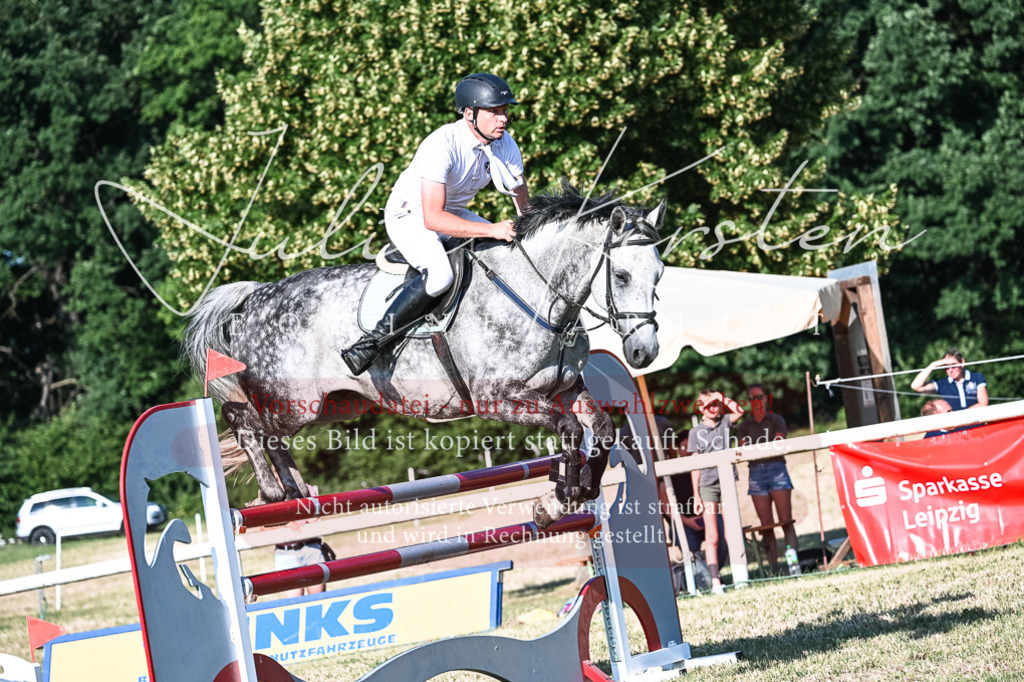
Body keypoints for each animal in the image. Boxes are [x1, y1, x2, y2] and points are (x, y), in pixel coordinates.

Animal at [183, 186, 666, 527]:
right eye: (622, 275)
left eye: (659, 274)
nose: (644, 351)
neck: (535, 294)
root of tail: (252, 299)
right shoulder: (497, 397)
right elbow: (568, 430)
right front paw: (559, 498)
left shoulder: (564, 388)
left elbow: (601, 431)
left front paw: (565, 497)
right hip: (294, 402)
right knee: (244, 420)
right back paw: (272, 492)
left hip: (333, 405)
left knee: (268, 434)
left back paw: (296, 488)